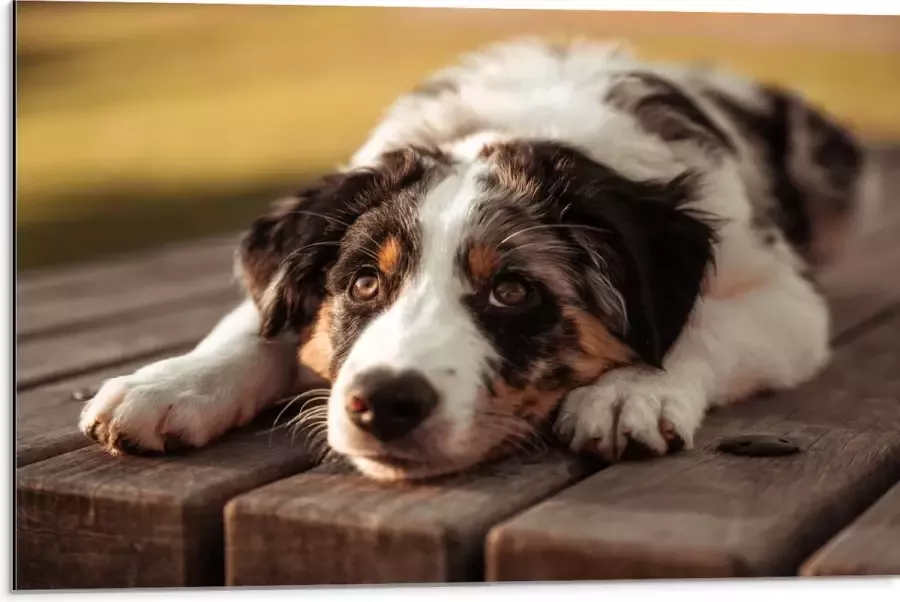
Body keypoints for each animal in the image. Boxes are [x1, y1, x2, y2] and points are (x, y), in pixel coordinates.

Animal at [79, 37, 872, 480]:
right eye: (363, 283)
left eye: (513, 292)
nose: (383, 404)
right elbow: (256, 321)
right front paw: (169, 384)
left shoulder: (785, 297)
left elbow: (700, 326)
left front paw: (629, 392)